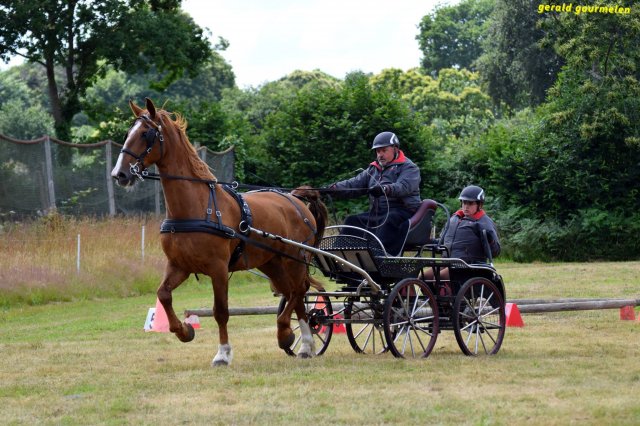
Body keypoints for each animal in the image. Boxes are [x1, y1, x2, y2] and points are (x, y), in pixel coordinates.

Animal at [111, 98, 327, 366]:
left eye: (145, 133)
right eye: (127, 134)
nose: (119, 174)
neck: (194, 208)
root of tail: (296, 199)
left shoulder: (218, 269)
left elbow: (221, 311)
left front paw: (223, 353)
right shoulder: (179, 265)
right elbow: (163, 294)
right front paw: (184, 331)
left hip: (295, 259)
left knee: (298, 291)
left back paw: (292, 335)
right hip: (272, 262)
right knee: (294, 294)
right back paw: (302, 341)